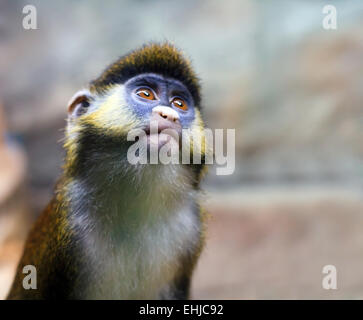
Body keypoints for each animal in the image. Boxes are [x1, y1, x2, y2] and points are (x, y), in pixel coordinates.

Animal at [7, 42, 209, 300]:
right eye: (146, 94)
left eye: (179, 104)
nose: (170, 115)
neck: (135, 206)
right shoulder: (70, 224)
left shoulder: (191, 228)